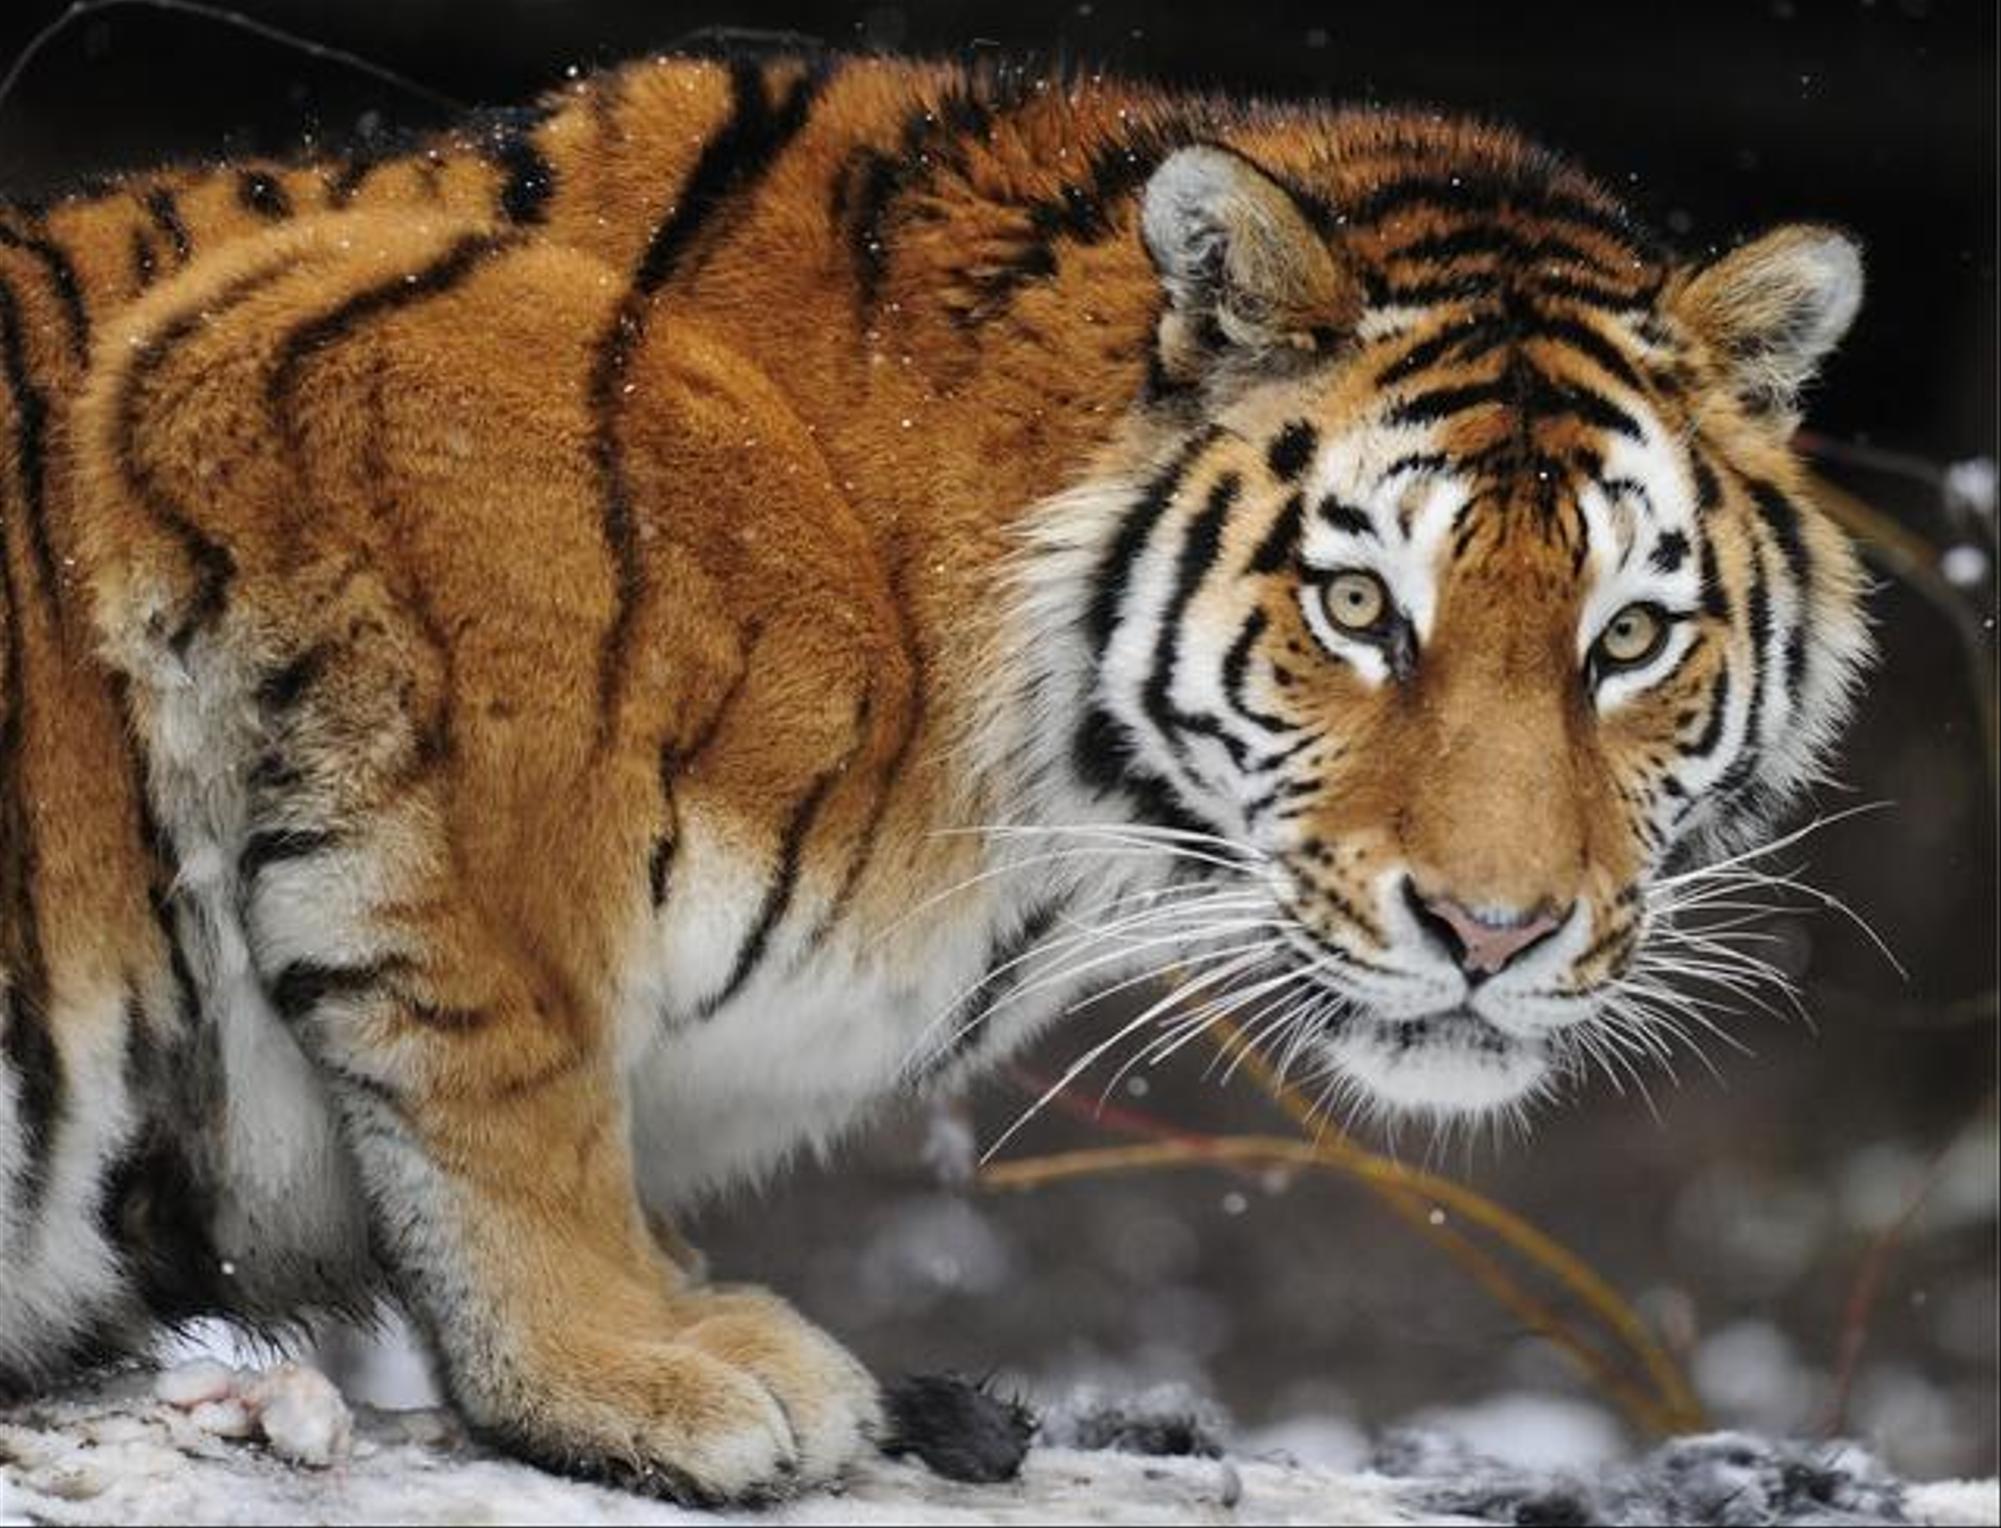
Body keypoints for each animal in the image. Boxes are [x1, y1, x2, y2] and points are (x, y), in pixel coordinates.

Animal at [0, 45, 1868, 1501]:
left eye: (1629, 638)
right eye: (1357, 608)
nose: (1494, 932)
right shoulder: (354, 392)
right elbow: (508, 1048)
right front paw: (621, 1364)